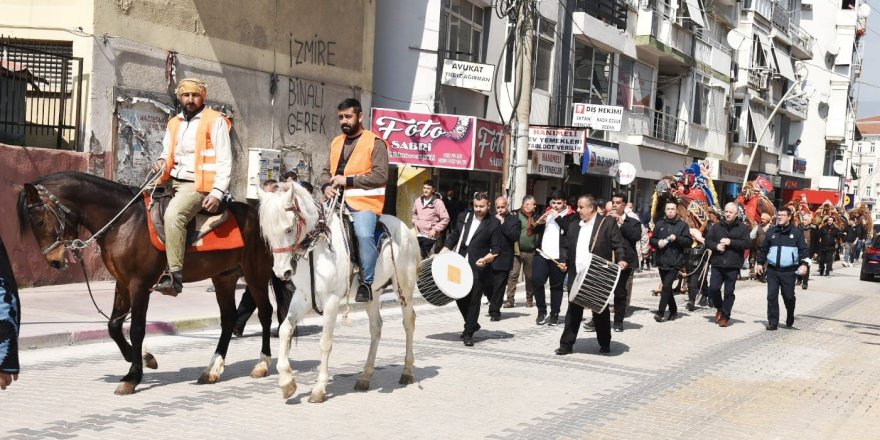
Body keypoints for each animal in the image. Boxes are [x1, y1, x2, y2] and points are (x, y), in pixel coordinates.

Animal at [16, 172, 272, 396]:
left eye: (40, 221)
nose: (54, 261)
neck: (124, 221)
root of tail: (257, 211)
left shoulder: (139, 285)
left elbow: (137, 329)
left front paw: (132, 377)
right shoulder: (122, 282)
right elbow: (113, 326)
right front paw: (144, 358)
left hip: (256, 274)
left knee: (266, 313)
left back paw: (262, 364)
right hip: (223, 277)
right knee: (228, 318)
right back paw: (212, 370)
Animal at [258, 182, 420, 402]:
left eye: (289, 229)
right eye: (267, 234)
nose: (282, 272)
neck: (316, 250)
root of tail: (406, 229)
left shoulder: (331, 300)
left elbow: (325, 343)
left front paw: (319, 388)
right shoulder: (303, 296)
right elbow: (285, 330)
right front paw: (287, 382)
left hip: (404, 288)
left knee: (408, 323)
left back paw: (407, 371)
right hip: (373, 293)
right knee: (376, 328)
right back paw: (365, 376)